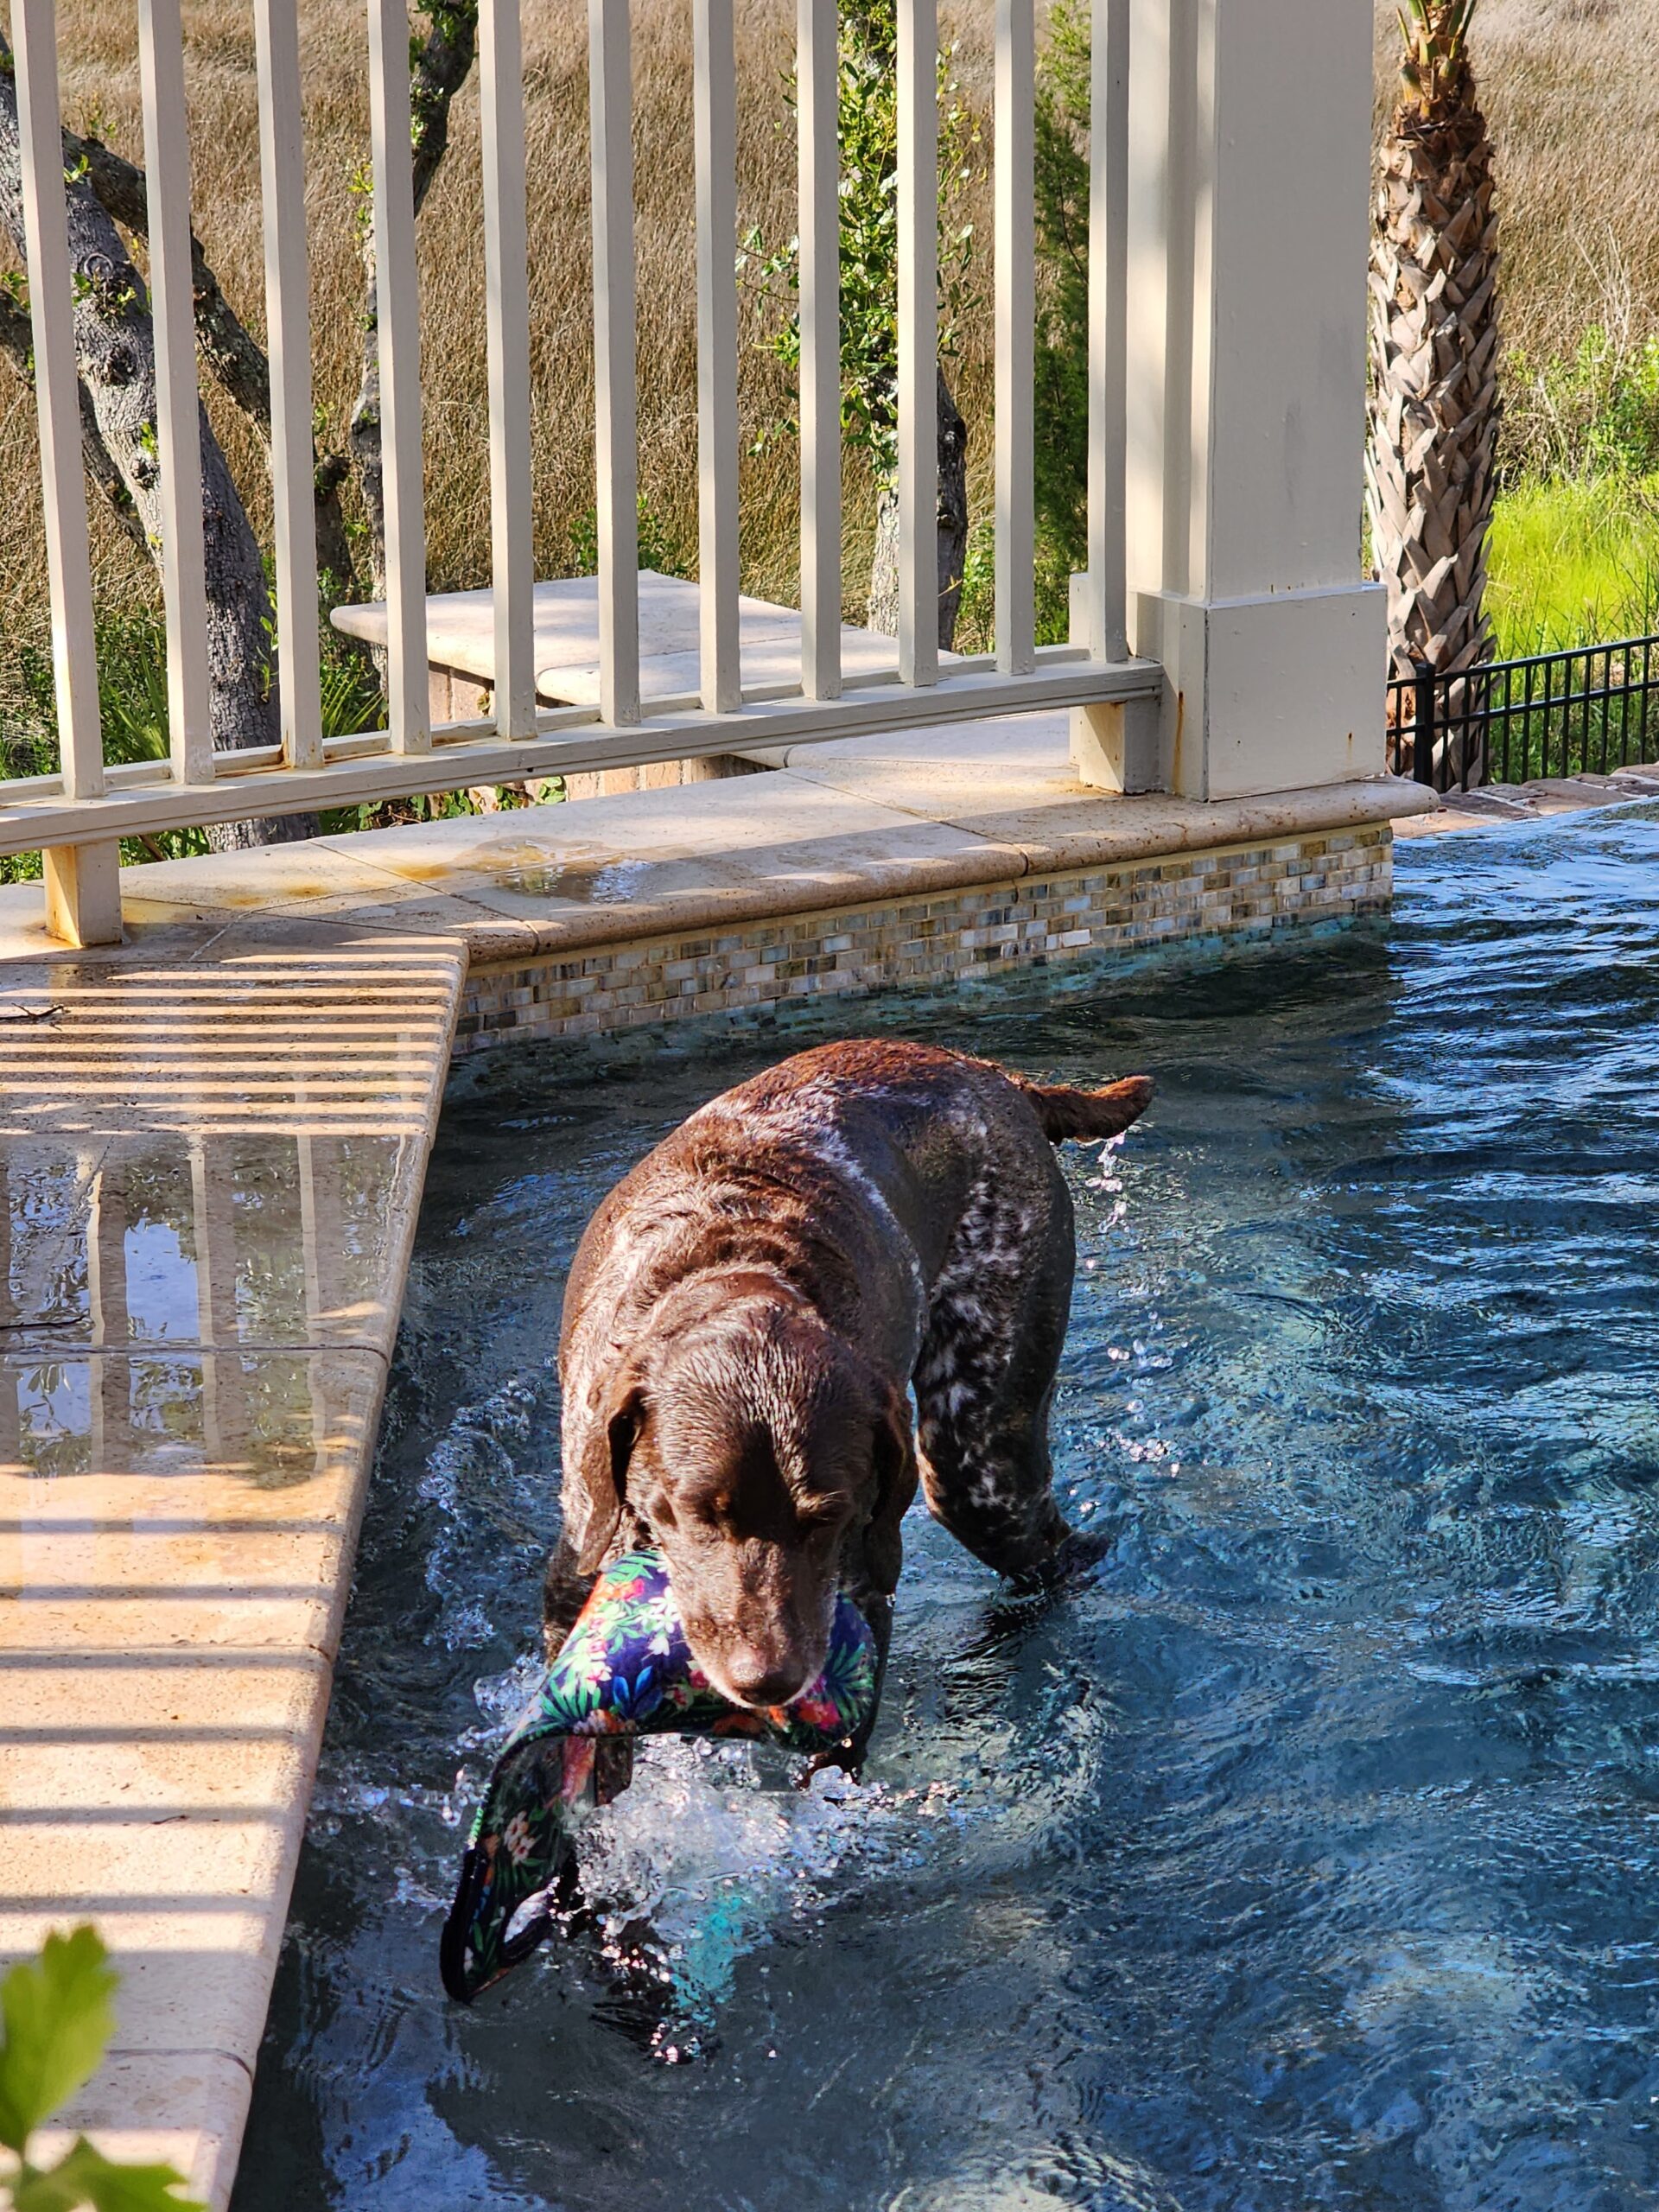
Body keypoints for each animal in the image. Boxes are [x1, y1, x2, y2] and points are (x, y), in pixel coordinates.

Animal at [544, 1039, 1152, 1773]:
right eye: (695, 1513)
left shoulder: (859, 1604)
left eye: (828, 1517)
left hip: (978, 1469)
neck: (739, 1266)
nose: (767, 1680)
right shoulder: (573, 1579)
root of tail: (998, 1077)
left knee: (1060, 1554)